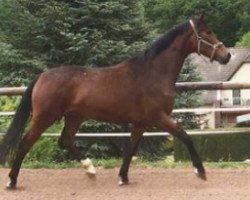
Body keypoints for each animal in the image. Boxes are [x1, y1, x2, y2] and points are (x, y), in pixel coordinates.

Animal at [0, 14, 230, 188]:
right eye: (207, 32)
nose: (226, 55)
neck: (152, 73)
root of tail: (42, 76)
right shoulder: (158, 117)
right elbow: (185, 136)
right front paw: (200, 171)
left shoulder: (141, 122)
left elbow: (130, 148)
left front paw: (123, 177)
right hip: (45, 117)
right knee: (26, 142)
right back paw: (12, 181)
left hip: (74, 116)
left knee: (65, 140)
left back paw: (90, 170)